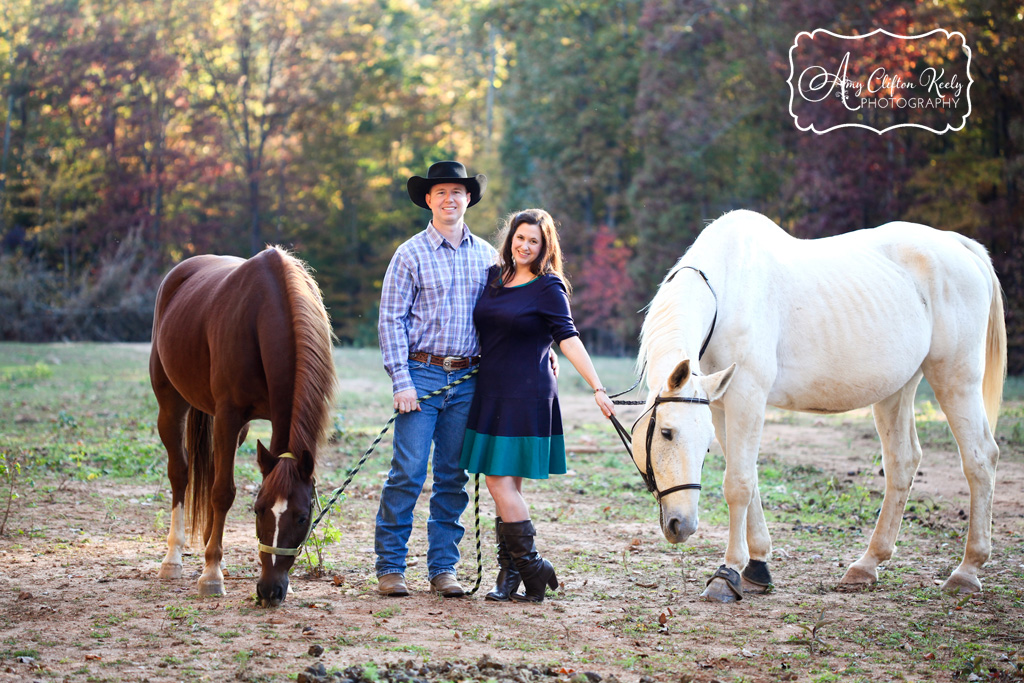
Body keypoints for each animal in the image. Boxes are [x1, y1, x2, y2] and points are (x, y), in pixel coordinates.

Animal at [150, 246, 335, 610]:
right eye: (258, 510)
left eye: (303, 517)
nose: (269, 591)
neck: (266, 310)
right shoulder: (228, 414)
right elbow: (223, 492)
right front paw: (211, 576)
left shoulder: (265, 420)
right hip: (172, 406)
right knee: (180, 474)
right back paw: (174, 559)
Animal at [630, 209, 1007, 602]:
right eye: (668, 433)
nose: (682, 525)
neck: (727, 290)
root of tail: (959, 246)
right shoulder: (721, 405)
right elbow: (749, 481)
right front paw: (758, 567)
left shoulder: (747, 396)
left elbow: (738, 484)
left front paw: (728, 573)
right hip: (897, 389)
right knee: (903, 463)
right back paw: (867, 565)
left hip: (955, 380)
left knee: (980, 459)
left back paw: (966, 571)